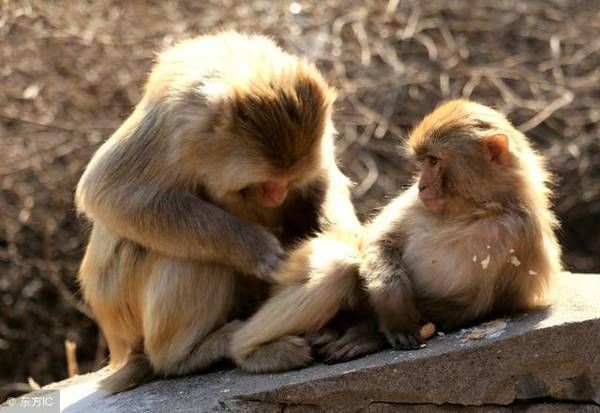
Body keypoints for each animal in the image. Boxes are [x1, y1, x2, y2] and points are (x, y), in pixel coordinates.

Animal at [77, 30, 364, 392]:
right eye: (263, 182)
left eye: (287, 180)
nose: (277, 194)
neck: (244, 69)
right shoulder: (177, 124)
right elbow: (109, 192)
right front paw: (256, 248)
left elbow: (321, 179)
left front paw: (339, 232)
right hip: (130, 318)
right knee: (191, 256)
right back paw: (185, 356)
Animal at [231, 98, 564, 368]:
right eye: (423, 162)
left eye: (434, 161)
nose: (422, 185)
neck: (472, 211)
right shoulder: (414, 203)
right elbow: (378, 242)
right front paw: (391, 300)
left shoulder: (519, 236)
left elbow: (472, 304)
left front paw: (367, 334)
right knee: (342, 265)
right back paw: (248, 351)